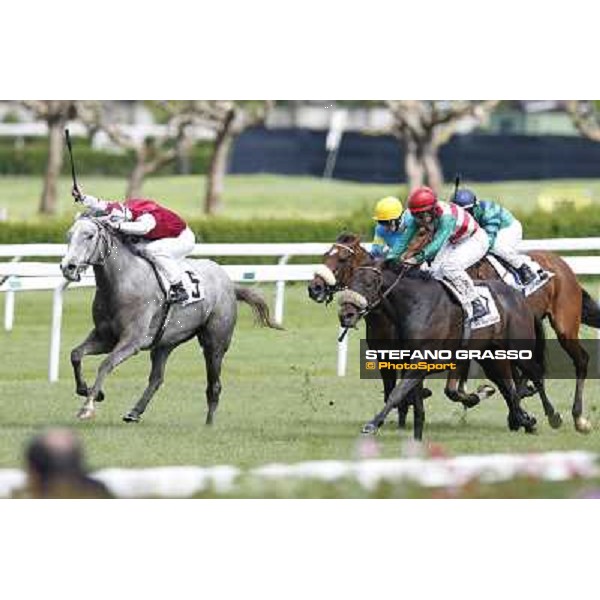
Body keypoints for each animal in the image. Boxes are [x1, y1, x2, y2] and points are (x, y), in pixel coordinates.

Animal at [61, 216, 282, 422]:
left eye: (89, 236)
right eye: (69, 235)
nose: (67, 267)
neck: (122, 281)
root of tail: (229, 283)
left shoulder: (132, 341)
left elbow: (105, 364)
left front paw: (87, 406)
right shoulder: (105, 337)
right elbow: (76, 354)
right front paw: (89, 391)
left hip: (215, 342)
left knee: (214, 385)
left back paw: (209, 424)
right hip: (165, 343)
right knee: (157, 378)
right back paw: (134, 412)